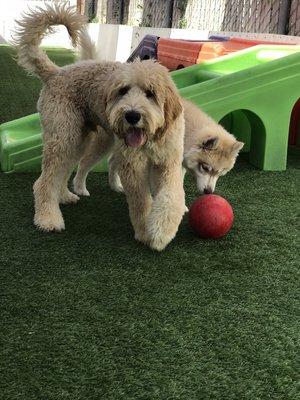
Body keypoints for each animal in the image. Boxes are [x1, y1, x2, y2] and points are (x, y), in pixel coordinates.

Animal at [15, 4, 188, 250]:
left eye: (151, 93)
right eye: (122, 90)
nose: (132, 115)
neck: (151, 138)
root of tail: (56, 73)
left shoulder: (169, 163)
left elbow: (171, 196)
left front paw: (163, 231)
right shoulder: (132, 167)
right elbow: (141, 202)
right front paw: (146, 232)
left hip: (78, 139)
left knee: (62, 171)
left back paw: (64, 196)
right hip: (63, 136)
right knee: (43, 182)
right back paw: (48, 218)